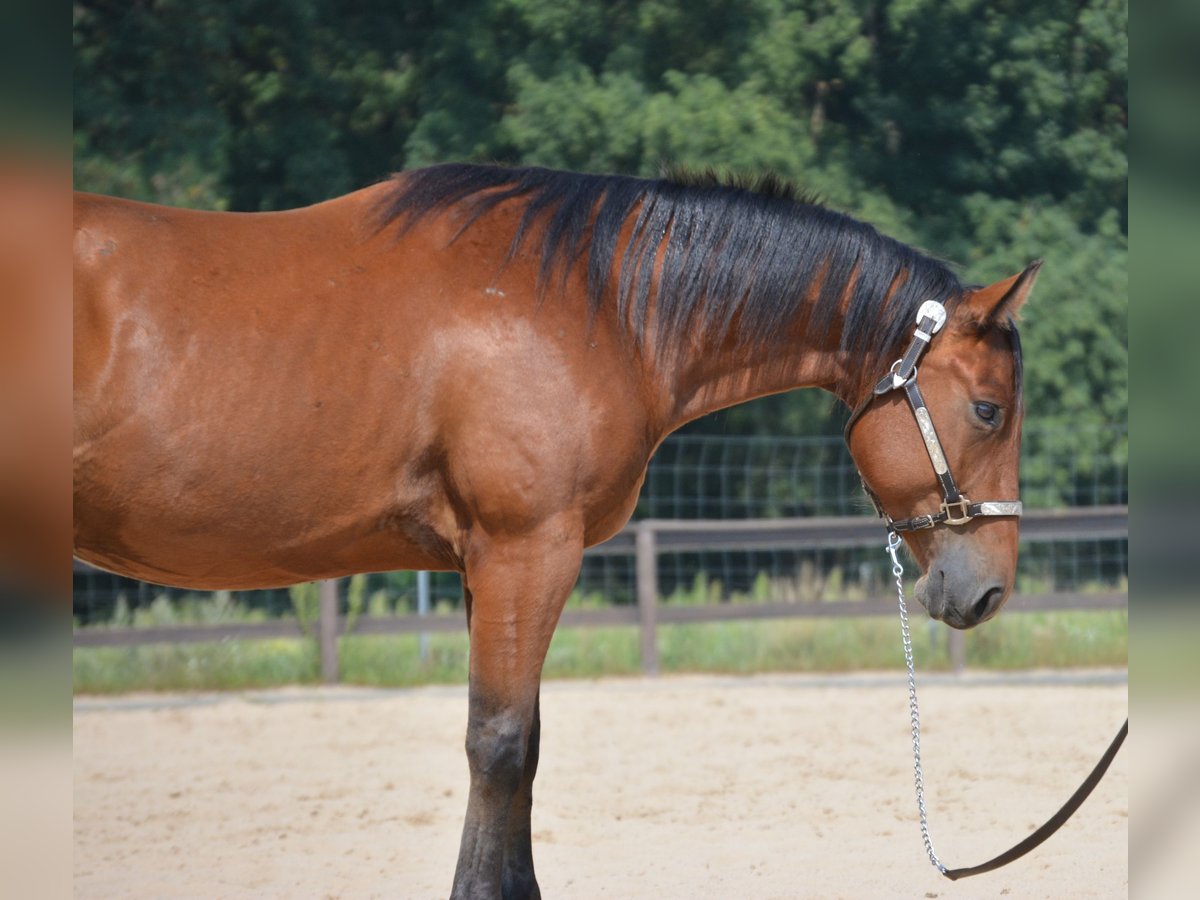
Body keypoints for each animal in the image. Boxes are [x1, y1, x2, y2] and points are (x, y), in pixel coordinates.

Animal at [73, 163, 1039, 899]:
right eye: (989, 410)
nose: (989, 587)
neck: (601, 305)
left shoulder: (489, 565)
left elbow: (526, 746)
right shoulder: (525, 550)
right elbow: (497, 745)